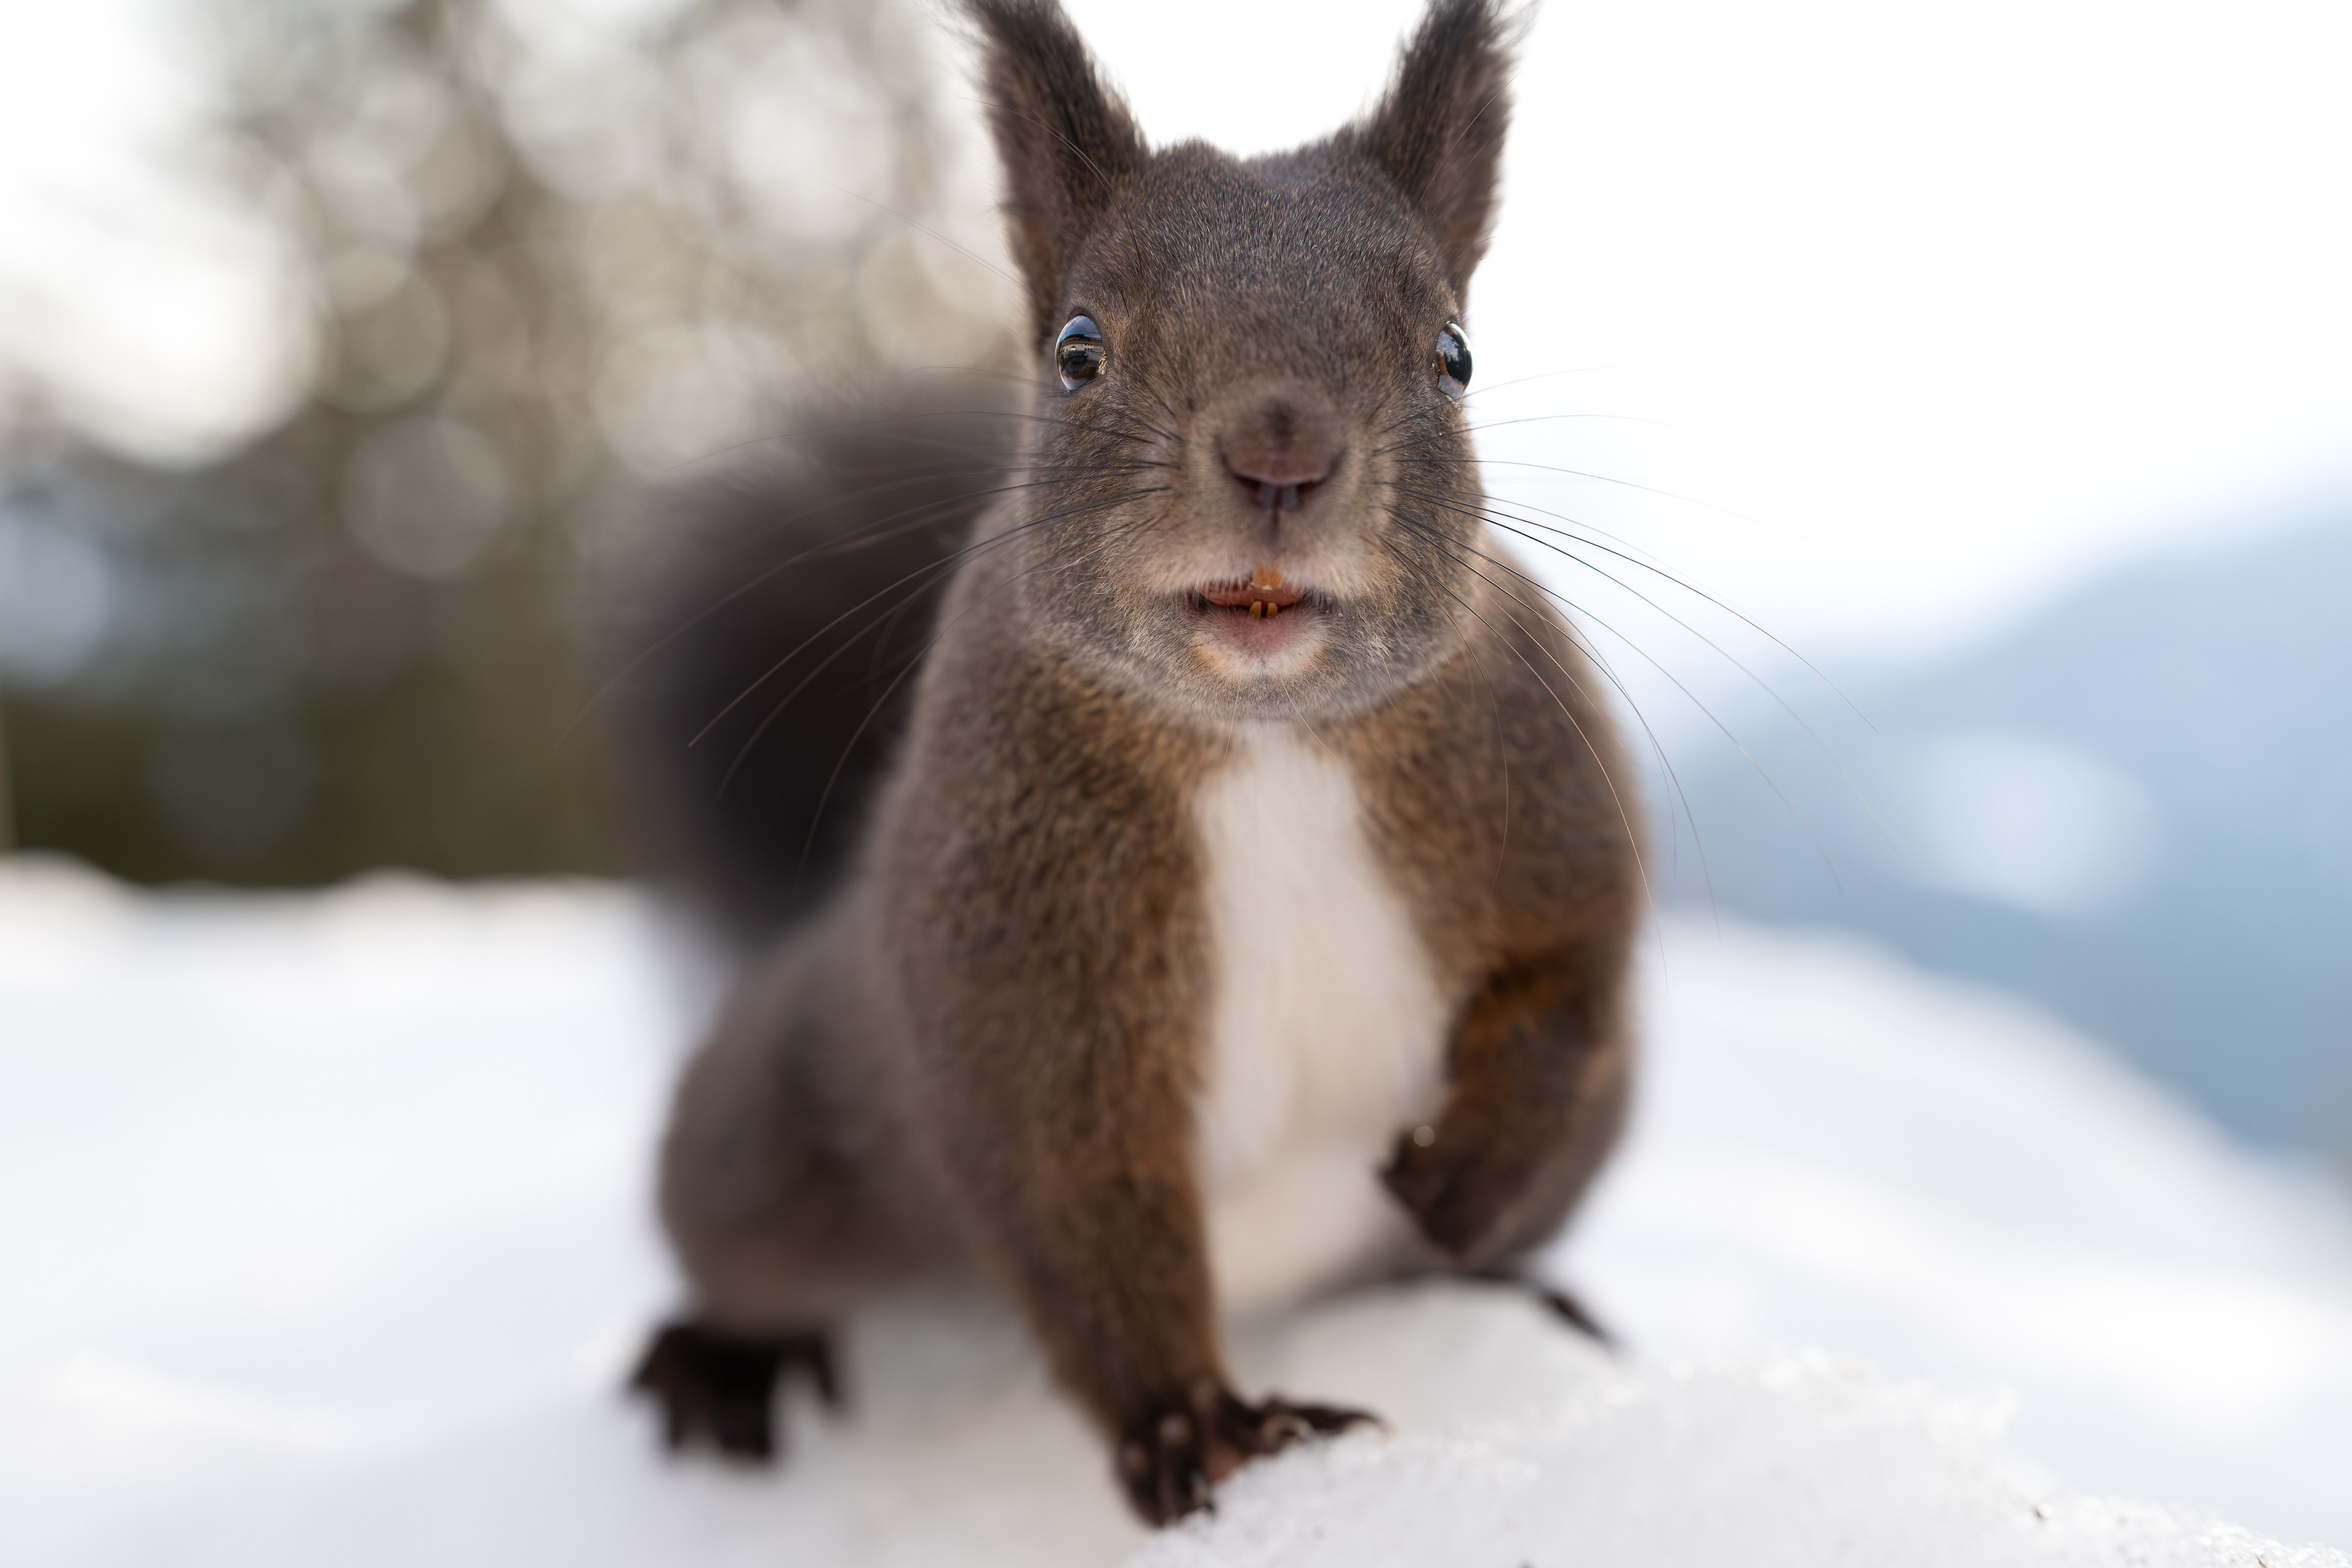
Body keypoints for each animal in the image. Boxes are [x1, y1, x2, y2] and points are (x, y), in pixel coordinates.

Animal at [614, 0, 1642, 1527]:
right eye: (1078, 348)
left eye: (1454, 352)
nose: (1282, 452)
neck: (1266, 739)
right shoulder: (1023, 986)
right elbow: (1080, 1208)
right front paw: (1205, 1431)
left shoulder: (1548, 798)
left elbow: (1574, 973)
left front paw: (1468, 1173)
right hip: (767, 1134)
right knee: (737, 1253)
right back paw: (719, 1366)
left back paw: (1528, 1284)